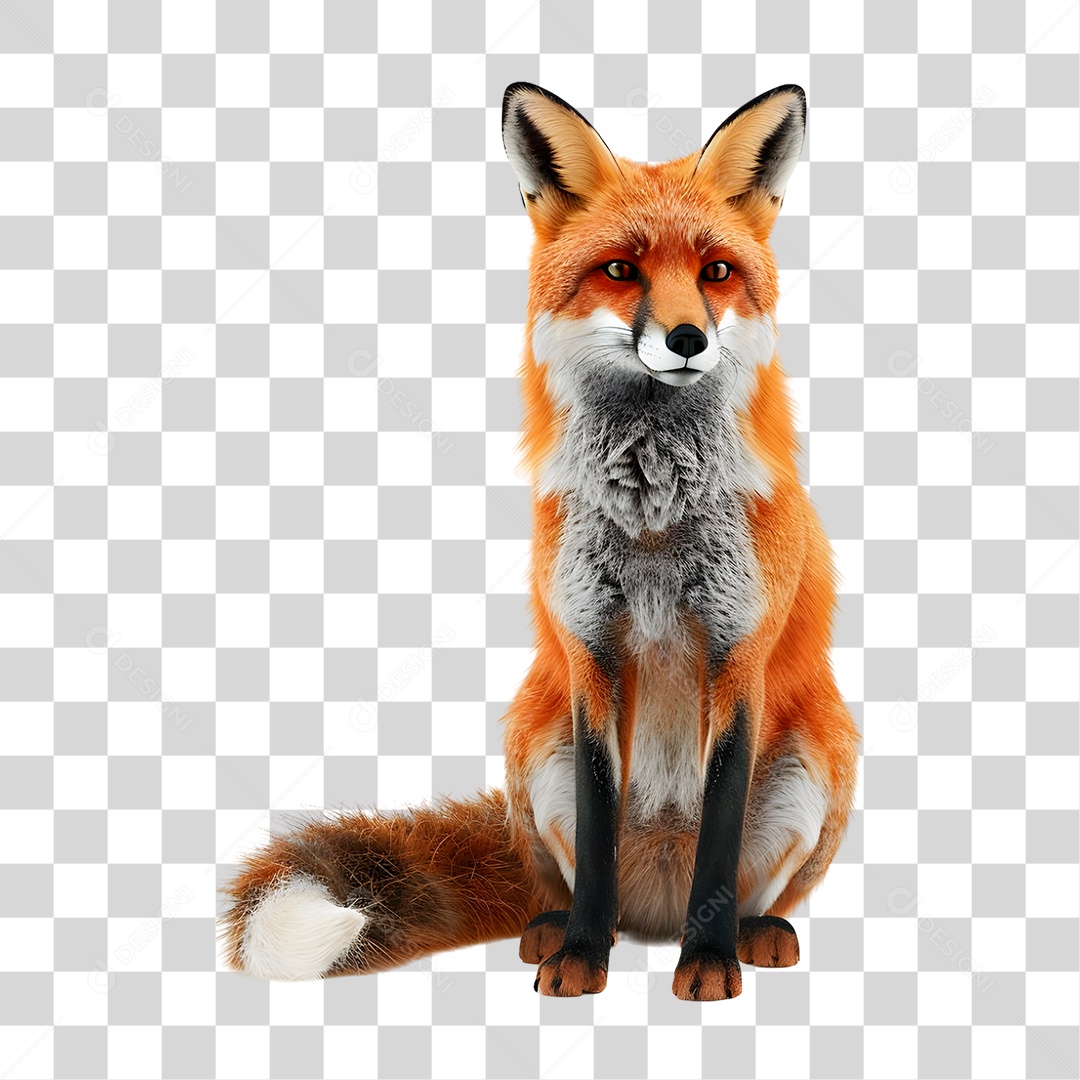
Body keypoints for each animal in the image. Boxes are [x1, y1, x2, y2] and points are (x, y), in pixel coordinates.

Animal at [218, 82, 860, 1000]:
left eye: (716, 272)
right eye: (621, 269)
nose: (688, 340)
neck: (654, 522)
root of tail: (653, 907)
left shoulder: (740, 655)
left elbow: (719, 833)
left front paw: (707, 963)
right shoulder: (589, 653)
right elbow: (594, 834)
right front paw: (583, 956)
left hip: (819, 754)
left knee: (743, 886)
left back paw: (748, 933)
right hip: (534, 737)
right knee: (570, 880)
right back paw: (558, 928)